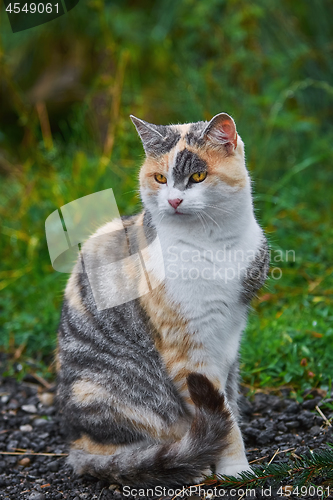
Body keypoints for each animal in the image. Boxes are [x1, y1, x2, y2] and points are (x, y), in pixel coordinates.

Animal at [56, 112, 268, 488]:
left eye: (197, 176)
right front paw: (234, 469)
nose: (173, 201)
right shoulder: (188, 351)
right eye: (159, 178)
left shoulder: (229, 339)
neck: (215, 243)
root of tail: (76, 444)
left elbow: (229, 406)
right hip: (104, 392)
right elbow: (223, 419)